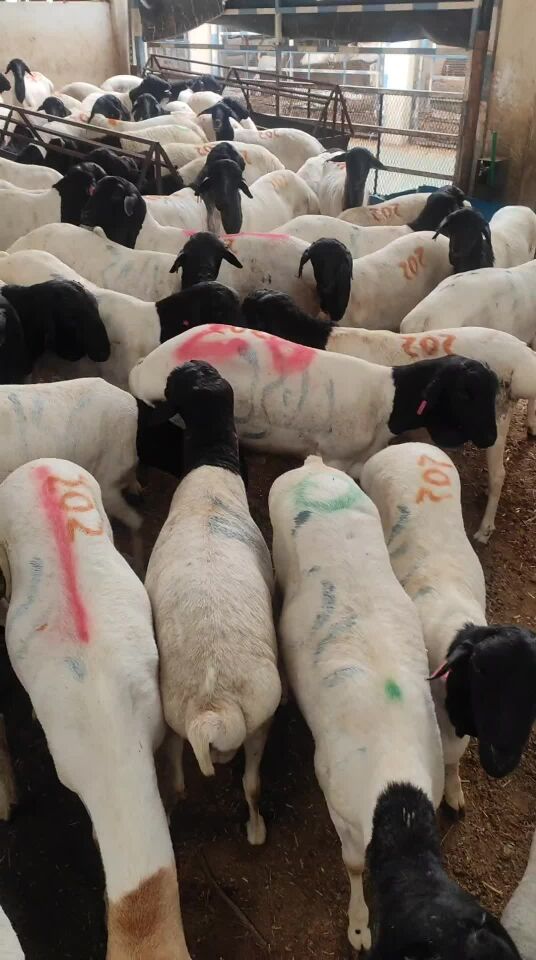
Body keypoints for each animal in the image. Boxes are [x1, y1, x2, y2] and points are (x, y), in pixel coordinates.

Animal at [146, 360, 281, 842]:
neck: (210, 478)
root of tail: (212, 707)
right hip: (261, 719)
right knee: (252, 783)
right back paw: (256, 828)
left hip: (172, 718)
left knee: (177, 782)